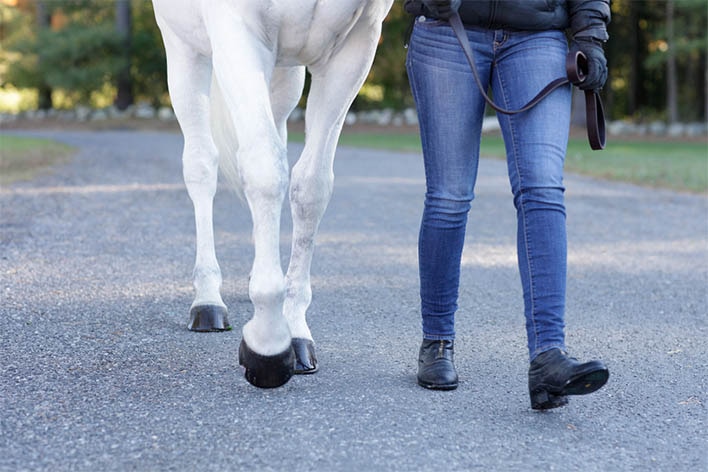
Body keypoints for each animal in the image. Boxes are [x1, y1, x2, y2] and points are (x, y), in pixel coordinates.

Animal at [153, 0, 396, 388]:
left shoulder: (355, 49)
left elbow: (310, 188)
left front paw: (293, 331)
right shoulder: (238, 34)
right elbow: (265, 171)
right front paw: (267, 345)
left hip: (285, 72)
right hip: (184, 49)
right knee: (202, 166)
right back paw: (207, 300)